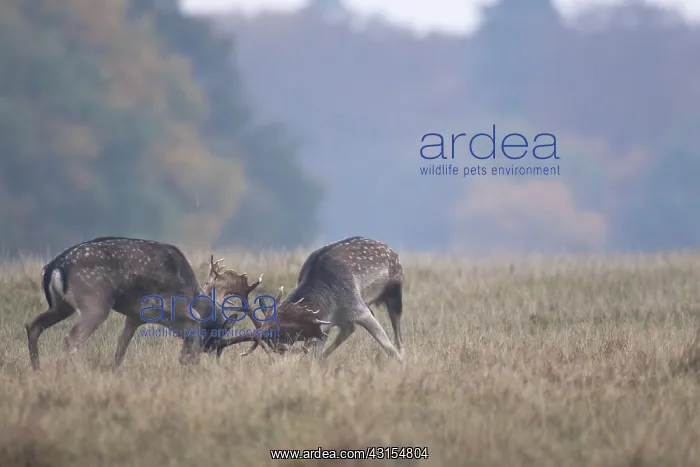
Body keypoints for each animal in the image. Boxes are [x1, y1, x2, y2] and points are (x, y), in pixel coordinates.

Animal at [24, 236, 262, 371]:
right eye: (217, 336)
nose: (212, 351)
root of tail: (55, 266)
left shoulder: (134, 316)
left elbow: (120, 349)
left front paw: (113, 372)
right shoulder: (173, 307)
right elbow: (191, 341)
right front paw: (188, 367)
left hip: (60, 305)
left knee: (33, 325)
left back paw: (37, 370)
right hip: (95, 302)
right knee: (71, 338)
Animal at [215, 236, 405, 363]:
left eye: (284, 346)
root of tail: (391, 250)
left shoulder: (358, 308)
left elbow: (389, 347)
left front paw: (400, 365)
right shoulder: (322, 324)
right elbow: (317, 351)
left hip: (395, 291)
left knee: (398, 335)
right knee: (348, 329)